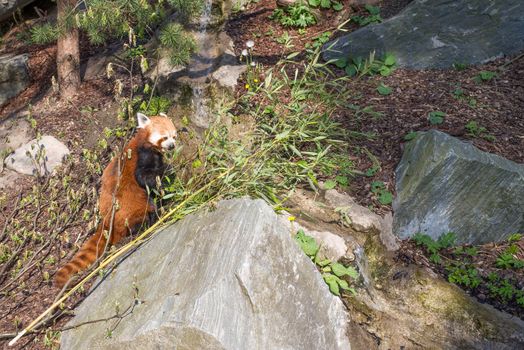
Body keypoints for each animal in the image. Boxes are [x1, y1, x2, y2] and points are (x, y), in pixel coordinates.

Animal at [54, 113, 178, 288]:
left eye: (174, 136)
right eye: (164, 137)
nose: (172, 145)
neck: (145, 143)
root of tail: (107, 220)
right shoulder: (142, 158)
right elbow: (145, 178)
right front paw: (165, 183)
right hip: (132, 209)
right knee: (144, 213)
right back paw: (150, 220)